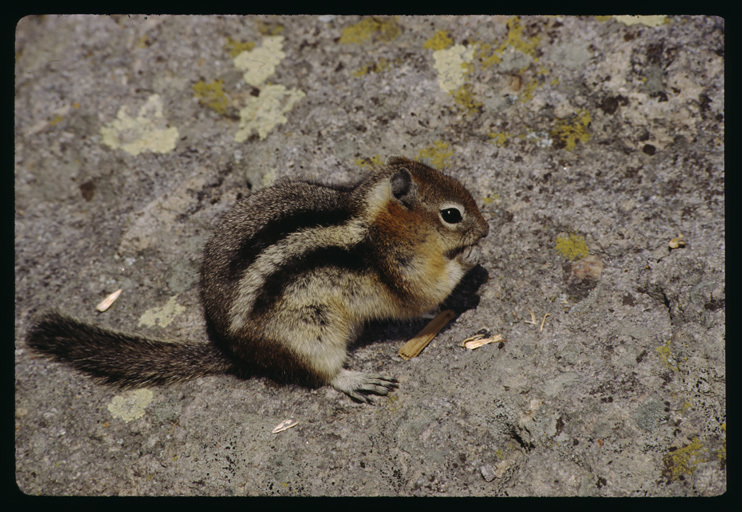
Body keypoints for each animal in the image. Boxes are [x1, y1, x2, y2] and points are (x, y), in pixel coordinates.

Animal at [27, 154, 488, 402]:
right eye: (451, 214)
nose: (486, 229)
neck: (374, 221)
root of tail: (234, 351)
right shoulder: (402, 268)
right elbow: (427, 292)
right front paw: (469, 261)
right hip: (308, 332)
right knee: (320, 372)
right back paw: (357, 379)